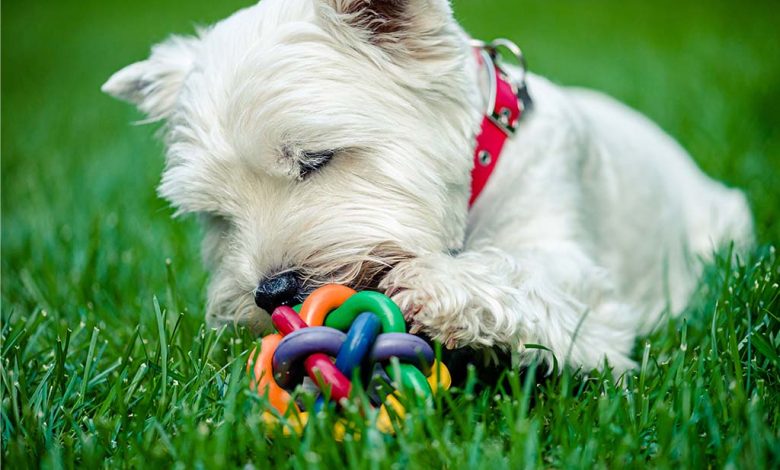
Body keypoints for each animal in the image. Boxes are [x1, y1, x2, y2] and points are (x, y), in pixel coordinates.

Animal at [102, 0, 748, 374]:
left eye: (314, 159)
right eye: (217, 213)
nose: (271, 293)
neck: (480, 168)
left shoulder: (590, 290)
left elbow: (526, 276)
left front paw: (436, 285)